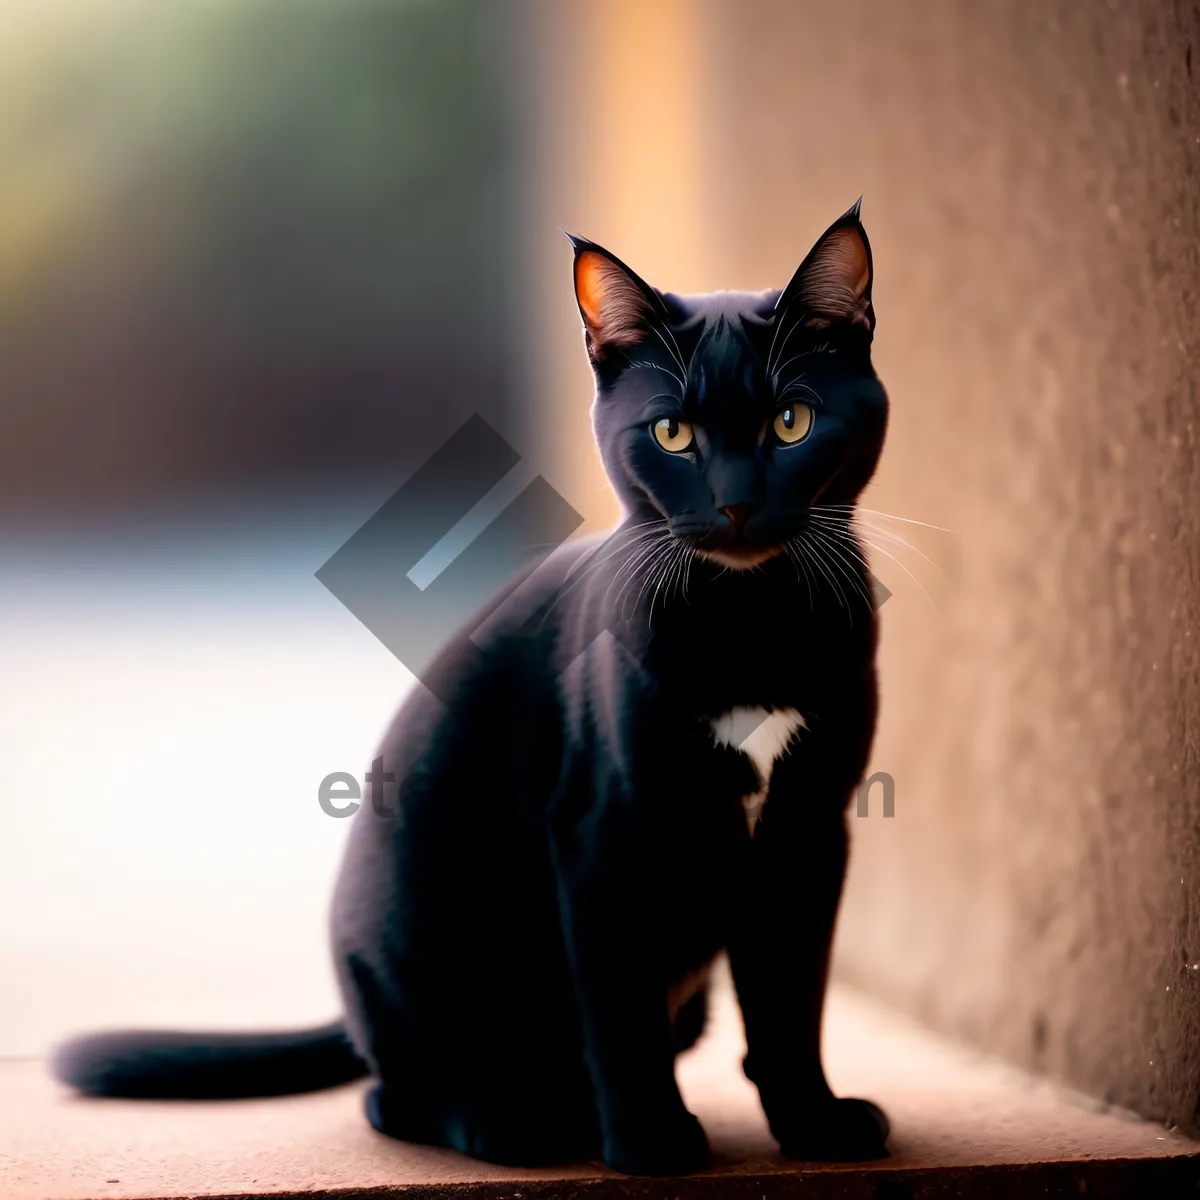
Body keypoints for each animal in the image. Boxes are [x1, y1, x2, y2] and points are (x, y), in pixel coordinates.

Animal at [56, 201, 892, 1176]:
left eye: (793, 422)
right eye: (672, 433)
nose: (734, 502)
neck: (750, 624)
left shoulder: (808, 827)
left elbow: (791, 1000)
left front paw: (815, 1125)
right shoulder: (604, 832)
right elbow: (620, 1009)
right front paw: (650, 1141)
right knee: (402, 1092)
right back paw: (519, 1125)